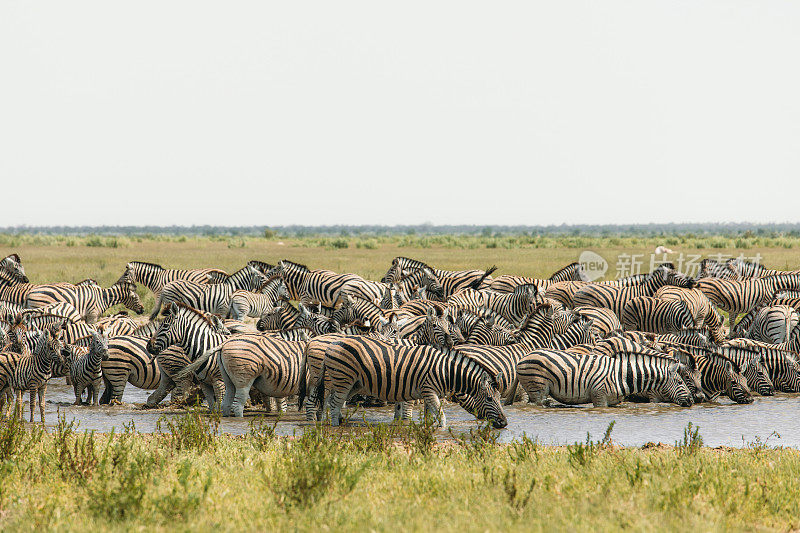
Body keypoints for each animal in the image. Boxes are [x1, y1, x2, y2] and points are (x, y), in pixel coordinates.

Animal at [310, 336, 506, 428]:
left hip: (353, 383)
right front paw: (443, 429)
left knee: (330, 402)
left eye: (499, 398)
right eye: (489, 399)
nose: (504, 423)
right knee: (335, 404)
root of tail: (331, 345)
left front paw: (430, 429)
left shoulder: (429, 393)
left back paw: (333, 422)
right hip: (344, 379)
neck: (445, 371)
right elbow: (441, 415)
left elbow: (430, 415)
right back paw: (336, 426)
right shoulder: (429, 390)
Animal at [516, 344, 692, 408]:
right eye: (680, 382)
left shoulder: (613, 401)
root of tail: (523, 357)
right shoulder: (599, 397)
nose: (691, 400)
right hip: (537, 387)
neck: (623, 376)